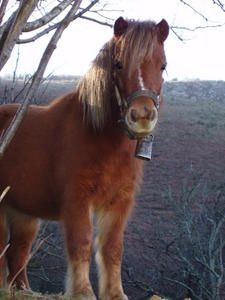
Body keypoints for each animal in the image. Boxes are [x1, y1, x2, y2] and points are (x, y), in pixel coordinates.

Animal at [0, 17, 169, 300]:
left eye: (163, 65)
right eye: (118, 64)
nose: (142, 116)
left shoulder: (118, 203)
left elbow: (112, 248)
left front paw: (115, 293)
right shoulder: (77, 199)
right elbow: (81, 242)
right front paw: (82, 292)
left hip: (24, 213)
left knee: (17, 254)